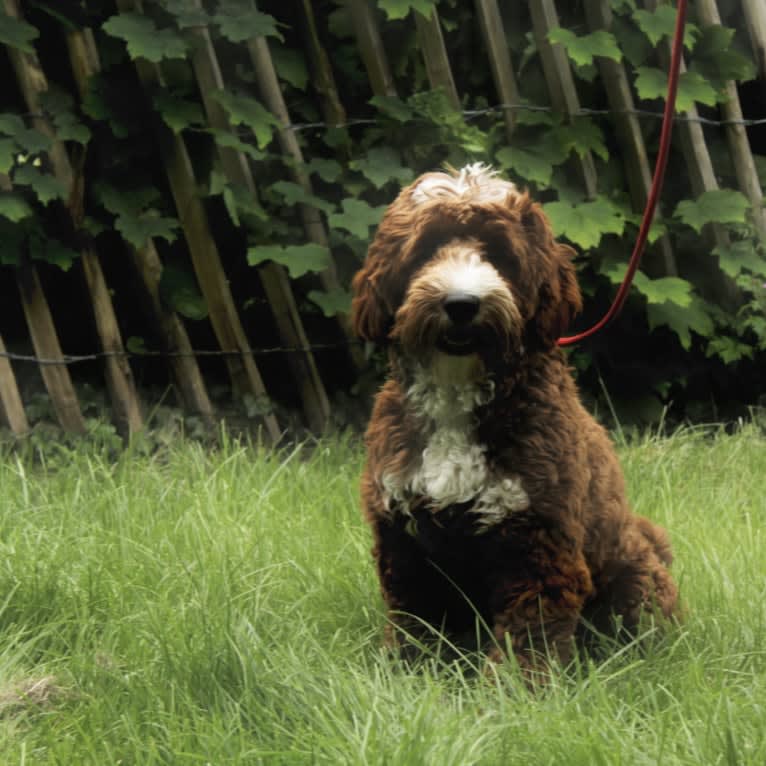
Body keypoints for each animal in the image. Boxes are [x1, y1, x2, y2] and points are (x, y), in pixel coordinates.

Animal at [348, 164, 680, 680]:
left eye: (500, 254)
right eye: (426, 248)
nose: (461, 302)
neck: (456, 400)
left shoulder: (538, 545)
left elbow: (529, 634)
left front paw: (512, 692)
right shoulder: (404, 540)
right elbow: (414, 622)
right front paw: (403, 675)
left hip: (633, 580)